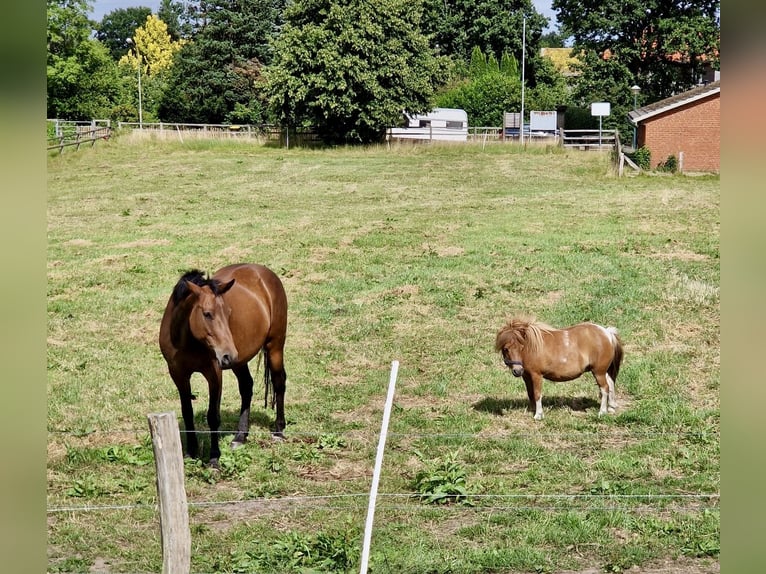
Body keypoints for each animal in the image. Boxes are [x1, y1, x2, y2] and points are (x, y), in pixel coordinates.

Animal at [159, 266, 288, 468]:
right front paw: (191, 452)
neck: (187, 340)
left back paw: (279, 431)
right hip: (240, 362)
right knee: (247, 387)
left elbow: (213, 416)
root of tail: (263, 272)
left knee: (279, 382)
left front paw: (214, 459)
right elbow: (187, 412)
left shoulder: (214, 375)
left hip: (274, 346)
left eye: (228, 313)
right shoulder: (179, 375)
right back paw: (240, 437)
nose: (228, 354)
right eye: (207, 314)